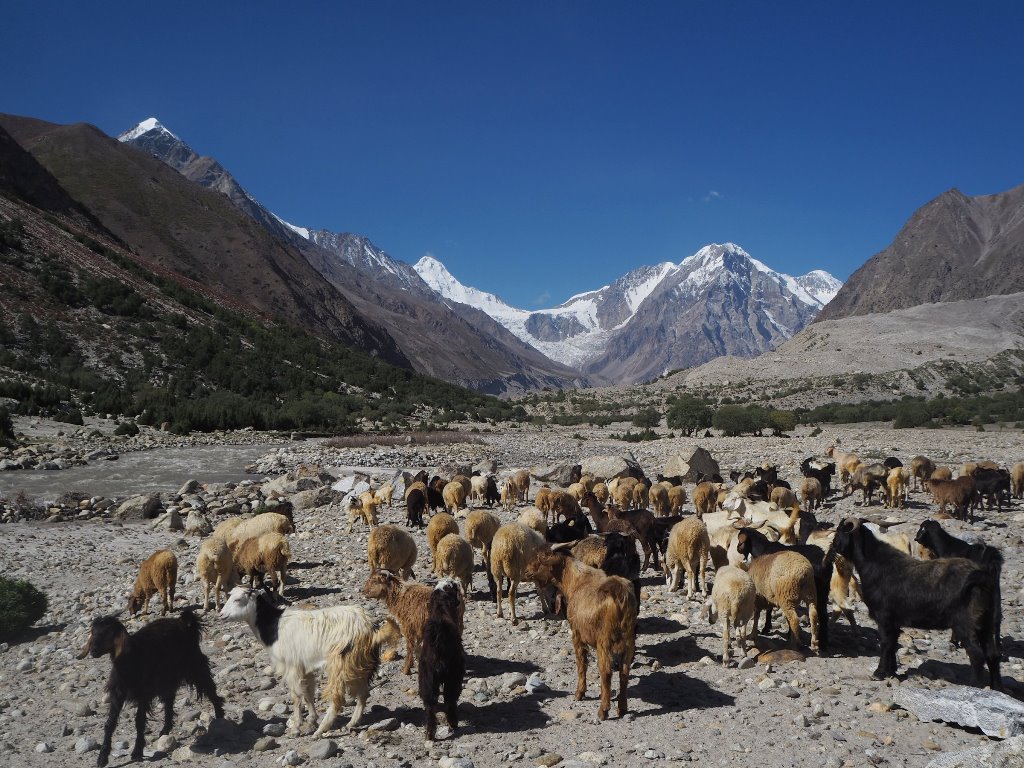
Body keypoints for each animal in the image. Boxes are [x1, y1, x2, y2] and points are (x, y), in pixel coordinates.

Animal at [78, 610, 224, 765]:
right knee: (169, 700)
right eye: (93, 632)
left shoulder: (144, 693)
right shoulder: (118, 693)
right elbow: (110, 723)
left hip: (195, 666)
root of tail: (185, 623)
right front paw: (102, 758)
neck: (131, 659)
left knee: (210, 689)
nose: (93, 651)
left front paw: (137, 752)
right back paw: (165, 730)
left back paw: (220, 718)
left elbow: (139, 721)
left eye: (108, 633)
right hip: (168, 677)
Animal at [417, 581, 466, 741]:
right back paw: (453, 723)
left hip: (427, 679)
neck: (441, 610)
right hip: (452, 675)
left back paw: (430, 734)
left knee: (430, 705)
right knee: (450, 699)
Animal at [831, 520, 999, 688]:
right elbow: (892, 644)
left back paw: (974, 684)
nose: (833, 545)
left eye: (840, 530)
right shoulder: (894, 622)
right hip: (986, 624)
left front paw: (879, 673)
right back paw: (996, 686)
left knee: (977, 654)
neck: (874, 563)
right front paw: (891, 672)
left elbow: (886, 643)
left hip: (966, 624)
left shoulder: (884, 617)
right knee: (992, 654)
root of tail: (982, 578)